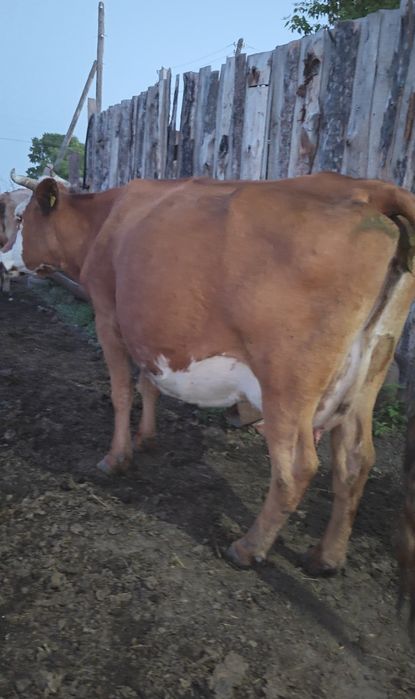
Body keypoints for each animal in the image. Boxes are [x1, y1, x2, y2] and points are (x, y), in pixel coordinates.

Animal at [2, 169, 415, 618]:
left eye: (21, 217)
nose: (4, 261)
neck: (105, 219)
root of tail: (368, 188)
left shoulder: (109, 317)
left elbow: (121, 391)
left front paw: (116, 458)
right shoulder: (150, 330)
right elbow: (149, 383)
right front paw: (147, 439)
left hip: (288, 385)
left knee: (298, 466)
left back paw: (248, 548)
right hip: (366, 377)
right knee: (356, 460)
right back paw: (326, 557)